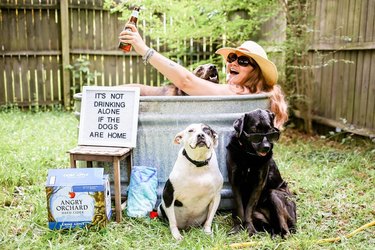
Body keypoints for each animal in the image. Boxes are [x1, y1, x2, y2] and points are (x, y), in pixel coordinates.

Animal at [226, 110, 296, 238]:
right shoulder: (235, 182)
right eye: (255, 131)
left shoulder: (258, 183)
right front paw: (237, 228)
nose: (266, 147)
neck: (249, 157)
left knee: (285, 227)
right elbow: (240, 208)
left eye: (270, 131)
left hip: (275, 194)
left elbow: (249, 209)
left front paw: (250, 229)